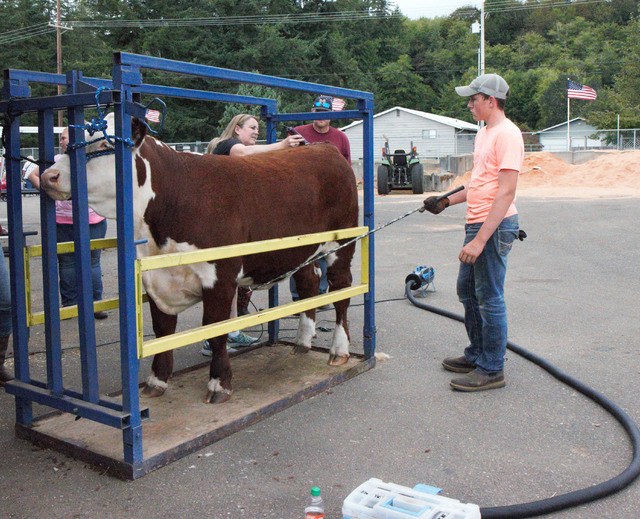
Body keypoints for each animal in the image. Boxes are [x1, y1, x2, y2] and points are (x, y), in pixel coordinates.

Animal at [40, 114, 360, 406]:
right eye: (67, 145)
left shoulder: (220, 275)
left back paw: (339, 350)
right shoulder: (156, 277)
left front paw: (219, 384)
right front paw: (157, 380)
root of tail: (324, 148)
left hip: (342, 243)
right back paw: (303, 342)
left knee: (341, 291)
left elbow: (215, 329)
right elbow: (163, 328)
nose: (48, 177)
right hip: (303, 250)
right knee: (309, 284)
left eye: (105, 144)